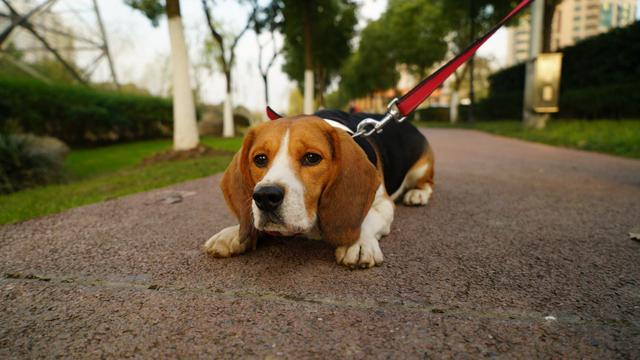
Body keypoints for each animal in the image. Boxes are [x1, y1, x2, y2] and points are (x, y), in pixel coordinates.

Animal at [204, 111, 436, 268]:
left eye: (312, 157)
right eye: (260, 159)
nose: (265, 196)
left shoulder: (383, 203)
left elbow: (368, 217)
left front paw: (359, 242)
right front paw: (234, 234)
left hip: (421, 168)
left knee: (427, 184)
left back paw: (417, 194)